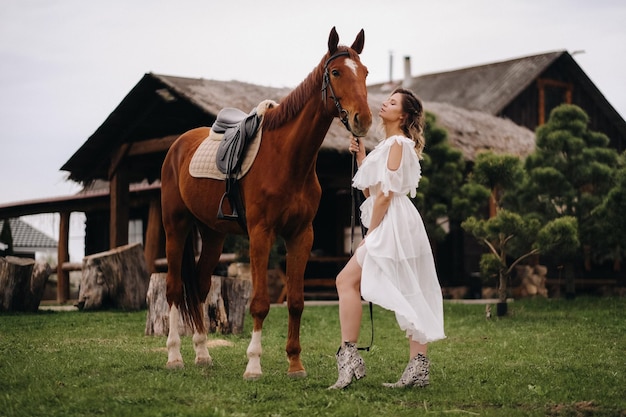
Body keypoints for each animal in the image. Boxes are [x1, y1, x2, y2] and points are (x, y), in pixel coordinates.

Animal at [158, 25, 370, 376]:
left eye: (365, 72)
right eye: (336, 72)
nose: (362, 120)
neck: (286, 158)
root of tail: (178, 145)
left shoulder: (301, 235)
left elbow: (296, 301)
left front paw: (295, 364)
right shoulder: (261, 234)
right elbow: (260, 303)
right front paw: (254, 365)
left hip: (212, 234)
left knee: (199, 286)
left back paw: (202, 353)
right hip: (176, 227)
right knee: (174, 289)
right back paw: (174, 356)